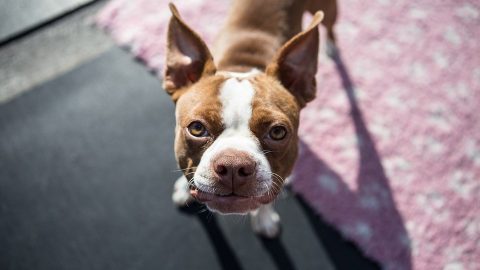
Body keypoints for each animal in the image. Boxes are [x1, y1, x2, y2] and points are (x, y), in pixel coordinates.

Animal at [165, 0, 338, 236]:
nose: (233, 166)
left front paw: (264, 219)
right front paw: (184, 188)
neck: (243, 67)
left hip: (328, 10)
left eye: (277, 132)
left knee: (330, 26)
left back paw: (331, 46)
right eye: (197, 128)